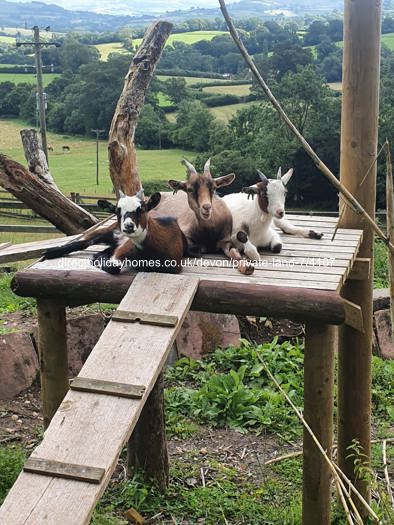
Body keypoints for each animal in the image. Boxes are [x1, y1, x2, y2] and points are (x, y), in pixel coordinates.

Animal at [43, 191, 186, 274]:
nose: (128, 226)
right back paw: (49, 252)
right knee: (84, 242)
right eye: (117, 210)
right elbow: (113, 266)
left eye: (142, 209)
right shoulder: (121, 251)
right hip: (108, 230)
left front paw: (98, 258)